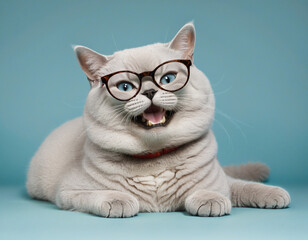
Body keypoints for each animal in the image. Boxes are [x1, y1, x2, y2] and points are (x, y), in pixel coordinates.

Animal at [25, 23, 288, 218]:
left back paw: (277, 192)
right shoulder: (69, 191)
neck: (155, 160)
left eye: (168, 78)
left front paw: (211, 200)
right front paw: (120, 202)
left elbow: (220, 190)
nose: (150, 91)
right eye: (125, 87)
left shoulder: (216, 181)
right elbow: (106, 194)